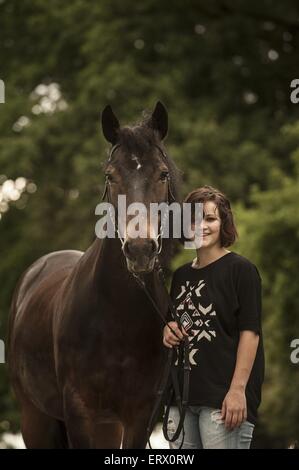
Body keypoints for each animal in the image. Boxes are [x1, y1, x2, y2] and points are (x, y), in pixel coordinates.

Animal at [7, 102, 180, 448]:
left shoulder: (140, 414)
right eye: (110, 175)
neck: (118, 315)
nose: (140, 250)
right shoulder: (79, 410)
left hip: (107, 426)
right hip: (36, 419)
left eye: (163, 173)